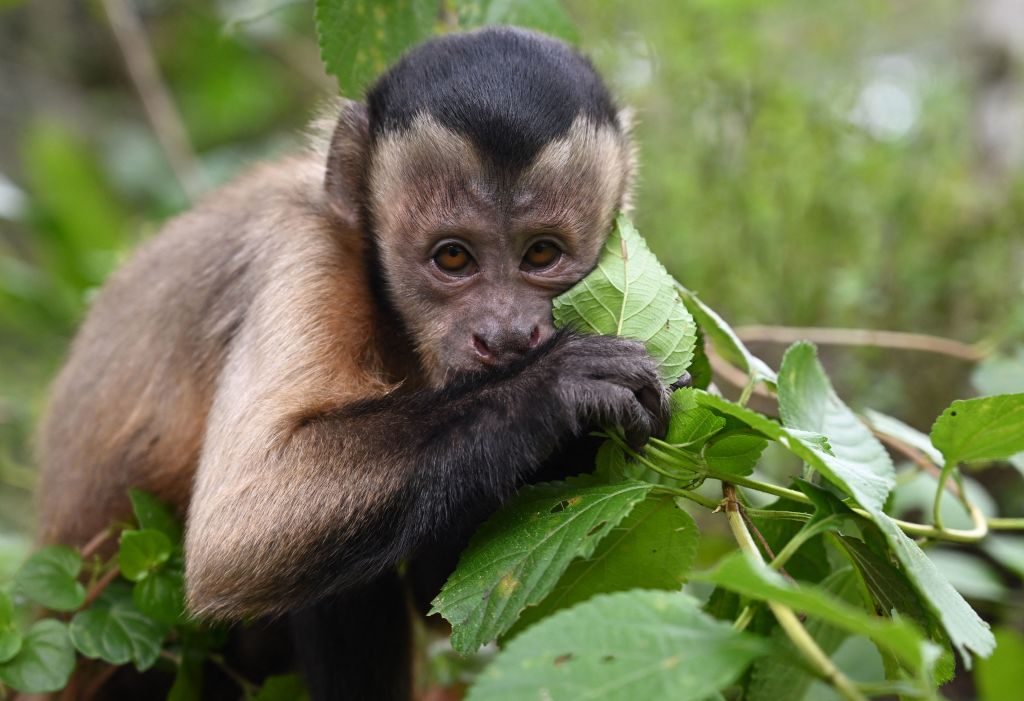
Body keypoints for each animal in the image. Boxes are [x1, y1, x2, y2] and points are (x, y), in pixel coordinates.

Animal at [36, 26, 670, 700]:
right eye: (453, 258)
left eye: (542, 254)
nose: (504, 334)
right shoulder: (305, 250)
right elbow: (237, 531)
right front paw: (553, 388)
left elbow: (441, 592)